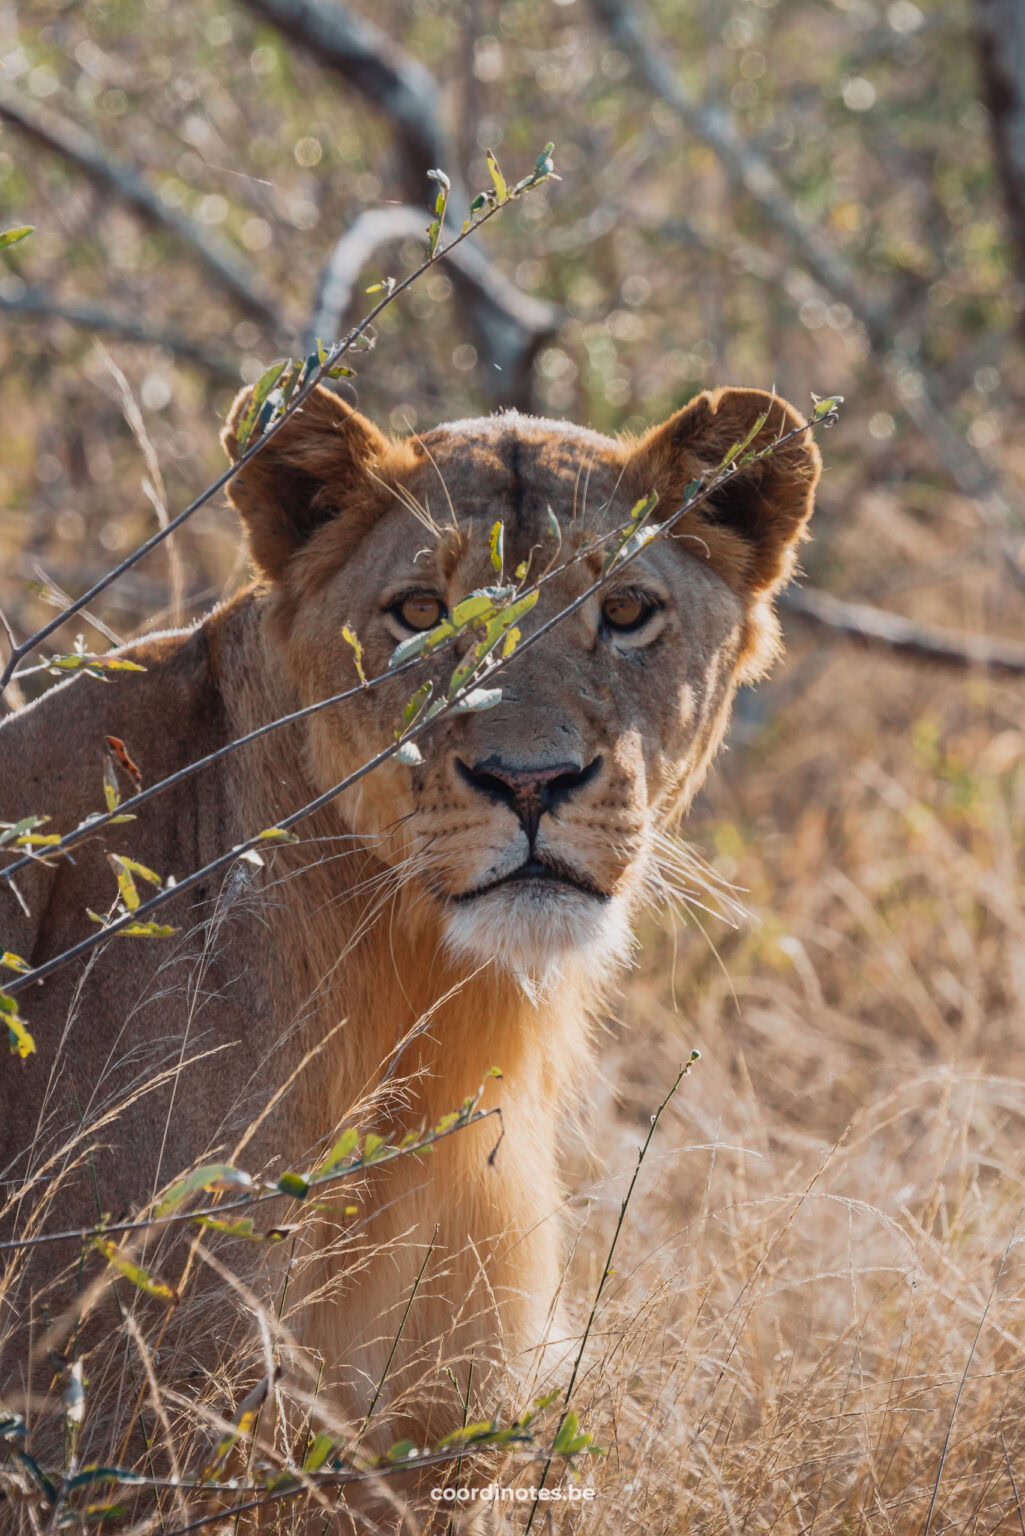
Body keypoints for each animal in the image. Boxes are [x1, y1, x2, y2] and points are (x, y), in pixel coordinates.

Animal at [0, 380, 817, 1499]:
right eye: (421, 614)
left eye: (625, 612)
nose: (531, 781)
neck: (427, 1010)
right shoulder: (126, 1436)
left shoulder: (430, 1431)